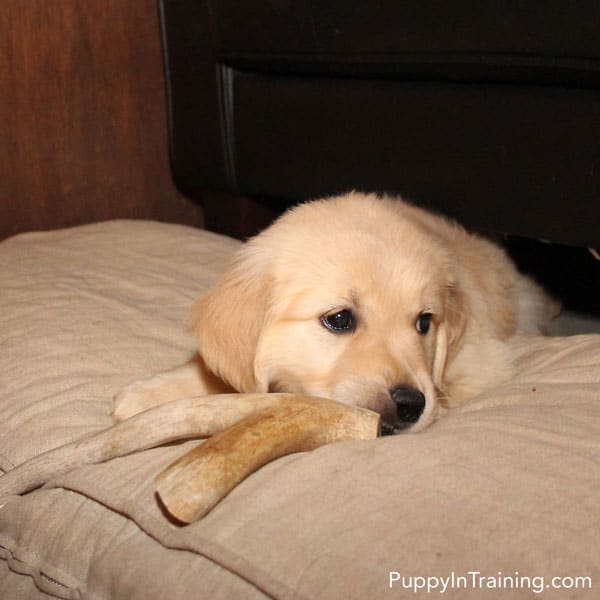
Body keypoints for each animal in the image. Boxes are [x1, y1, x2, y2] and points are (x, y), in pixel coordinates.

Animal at [113, 195, 556, 434]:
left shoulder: (482, 362)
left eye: (424, 323)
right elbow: (220, 373)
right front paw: (147, 395)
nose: (411, 405)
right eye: (340, 319)